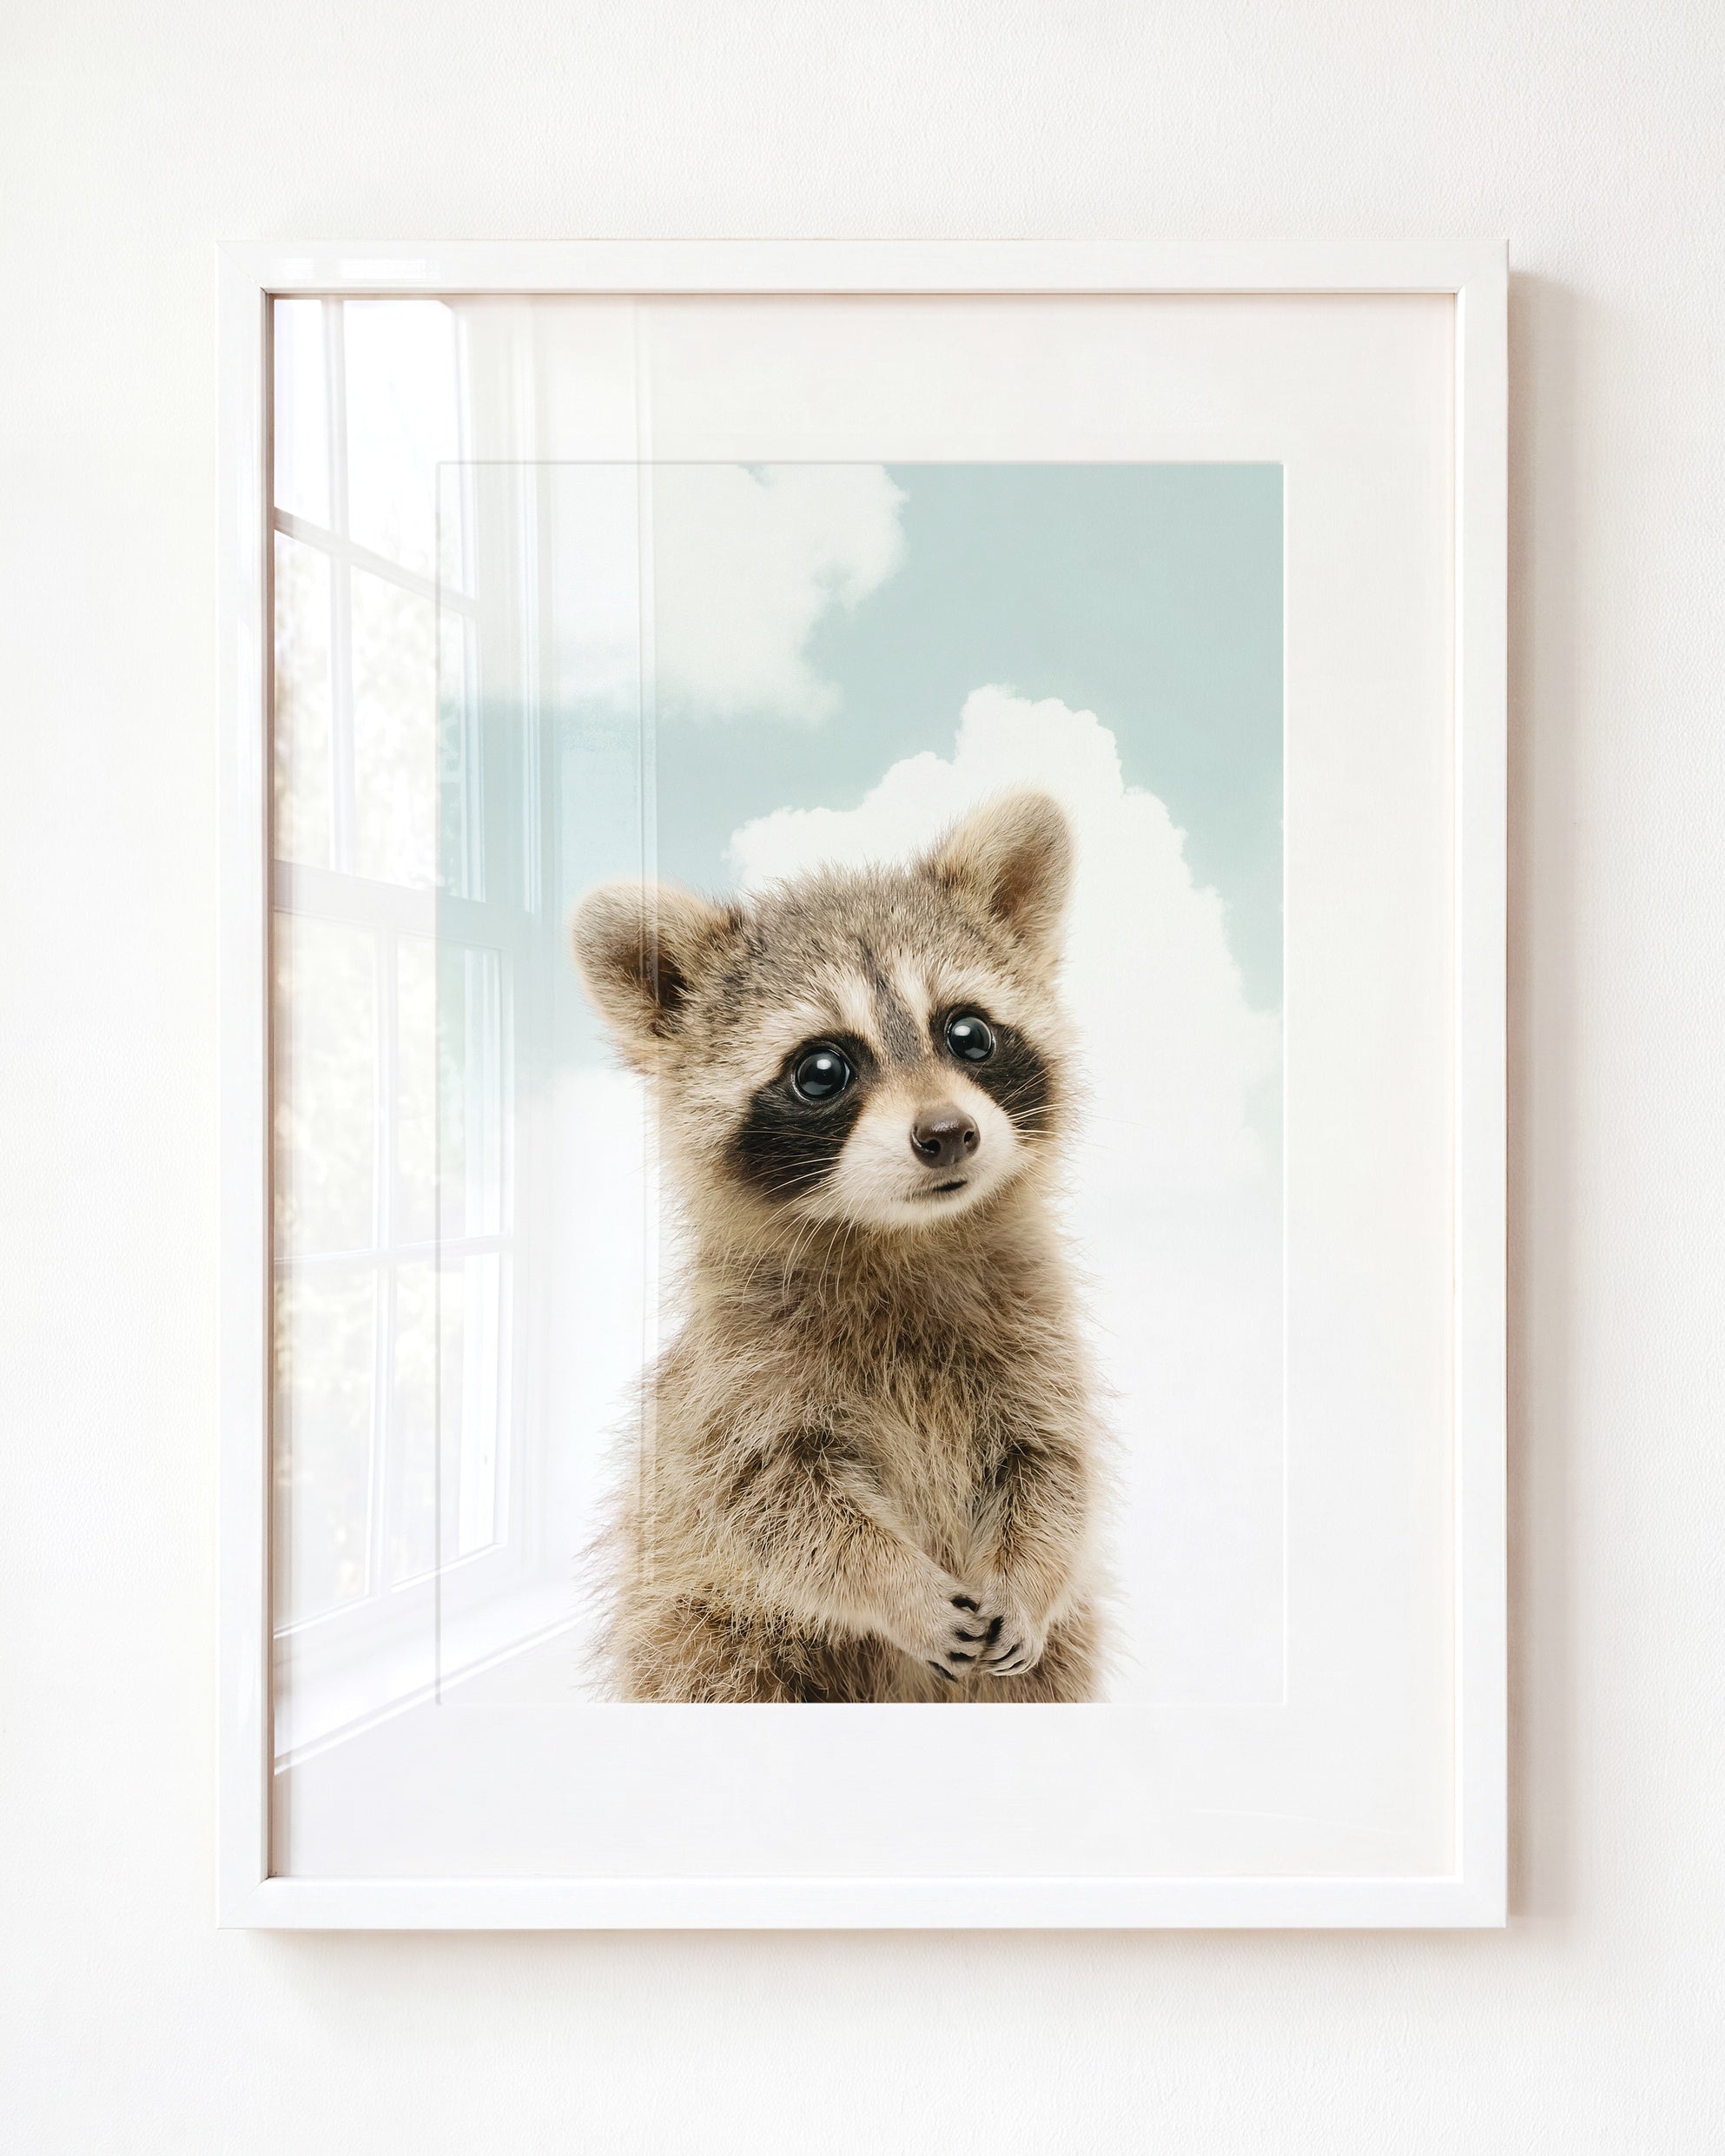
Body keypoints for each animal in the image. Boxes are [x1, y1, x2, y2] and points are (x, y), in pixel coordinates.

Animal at [570, 790, 1106, 1702]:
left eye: (968, 1034)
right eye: (822, 1070)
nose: (947, 1134)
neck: (903, 1238)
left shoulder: (1038, 1337)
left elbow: (1054, 1469)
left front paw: (1029, 1577)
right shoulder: (736, 1381)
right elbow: (774, 1507)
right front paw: (896, 1586)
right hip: (703, 1631)